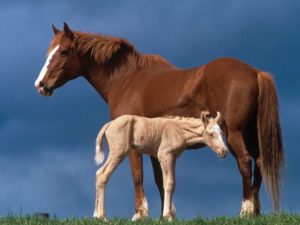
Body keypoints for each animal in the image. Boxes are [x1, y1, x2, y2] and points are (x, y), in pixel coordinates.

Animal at [94, 111, 227, 221]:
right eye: (210, 134)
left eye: (221, 133)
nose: (224, 151)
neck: (179, 130)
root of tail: (109, 124)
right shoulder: (164, 155)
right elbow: (168, 183)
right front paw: (167, 216)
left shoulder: (173, 158)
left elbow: (172, 184)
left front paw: (170, 216)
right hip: (118, 152)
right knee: (103, 175)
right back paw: (102, 217)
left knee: (98, 174)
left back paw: (96, 215)